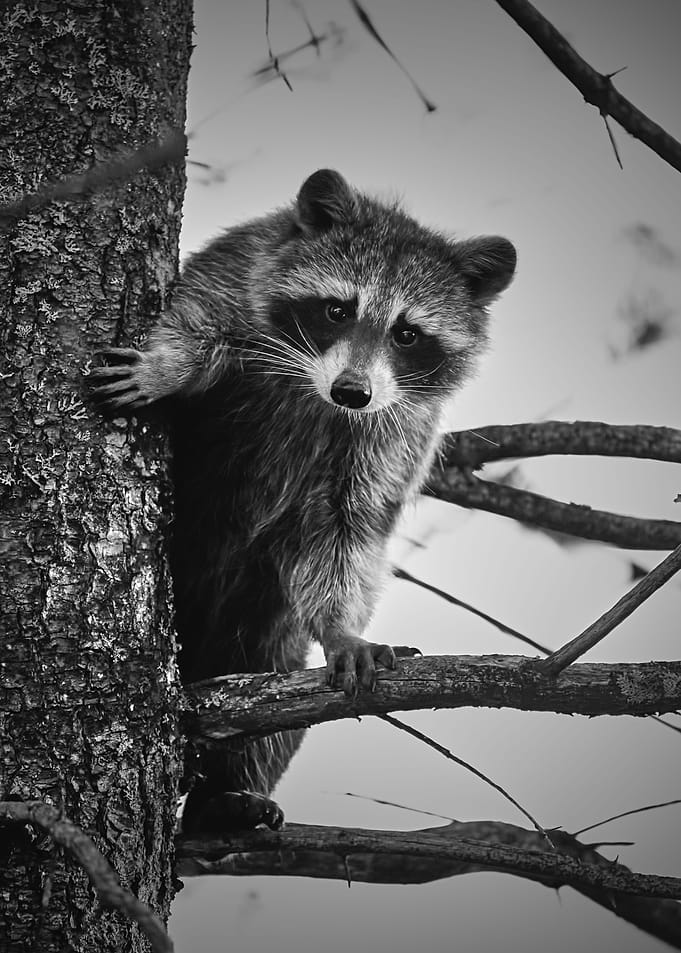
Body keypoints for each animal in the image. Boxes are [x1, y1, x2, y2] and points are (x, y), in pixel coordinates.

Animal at [90, 169, 515, 829]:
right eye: (338, 309)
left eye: (407, 333)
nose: (353, 392)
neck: (313, 389)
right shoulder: (233, 272)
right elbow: (191, 324)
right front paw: (169, 364)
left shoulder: (395, 434)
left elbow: (349, 531)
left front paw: (340, 629)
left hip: (260, 628)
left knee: (273, 677)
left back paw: (227, 792)